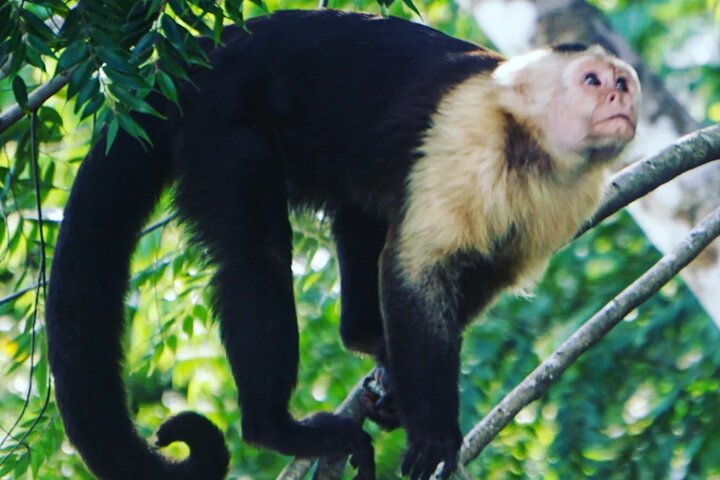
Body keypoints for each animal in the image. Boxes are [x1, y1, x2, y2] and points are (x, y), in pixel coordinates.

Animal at [45, 9, 640, 480]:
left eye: (624, 84)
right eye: (591, 80)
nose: (619, 97)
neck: (527, 147)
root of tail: (191, 61)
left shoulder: (568, 200)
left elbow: (482, 277)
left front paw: (396, 381)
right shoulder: (464, 135)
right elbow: (416, 273)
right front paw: (435, 431)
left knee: (365, 210)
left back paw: (362, 334)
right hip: (220, 124)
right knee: (257, 254)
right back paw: (274, 428)